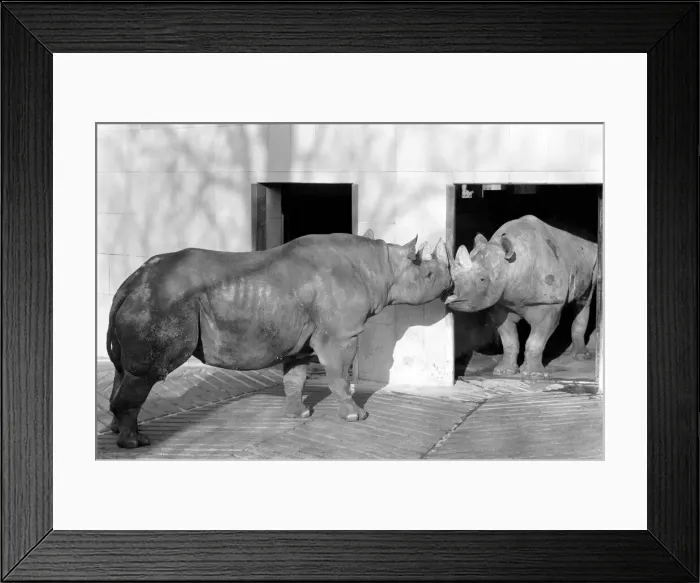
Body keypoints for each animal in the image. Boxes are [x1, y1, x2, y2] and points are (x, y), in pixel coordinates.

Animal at [106, 231, 453, 448]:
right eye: (429, 276)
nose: (450, 284)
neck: (381, 265)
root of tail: (131, 281)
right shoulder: (340, 335)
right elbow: (339, 375)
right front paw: (356, 416)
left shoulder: (301, 336)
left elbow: (295, 377)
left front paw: (299, 414)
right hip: (164, 301)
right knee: (146, 373)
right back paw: (135, 443)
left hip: (146, 297)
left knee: (123, 370)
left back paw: (118, 431)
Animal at [444, 215, 599, 378]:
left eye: (482, 280)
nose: (451, 297)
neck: (511, 265)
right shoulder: (501, 302)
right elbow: (509, 340)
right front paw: (503, 372)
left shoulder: (549, 304)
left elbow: (535, 341)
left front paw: (533, 375)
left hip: (592, 256)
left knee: (584, 302)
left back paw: (580, 356)